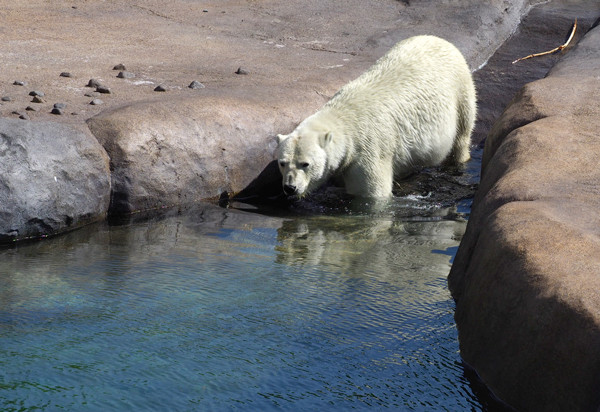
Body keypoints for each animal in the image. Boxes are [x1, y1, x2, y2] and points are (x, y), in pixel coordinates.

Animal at [274, 34, 476, 199]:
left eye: (305, 164)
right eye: (282, 163)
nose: (290, 188)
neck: (344, 117)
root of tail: (439, 39)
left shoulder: (368, 152)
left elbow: (372, 194)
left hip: (460, 90)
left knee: (462, 134)